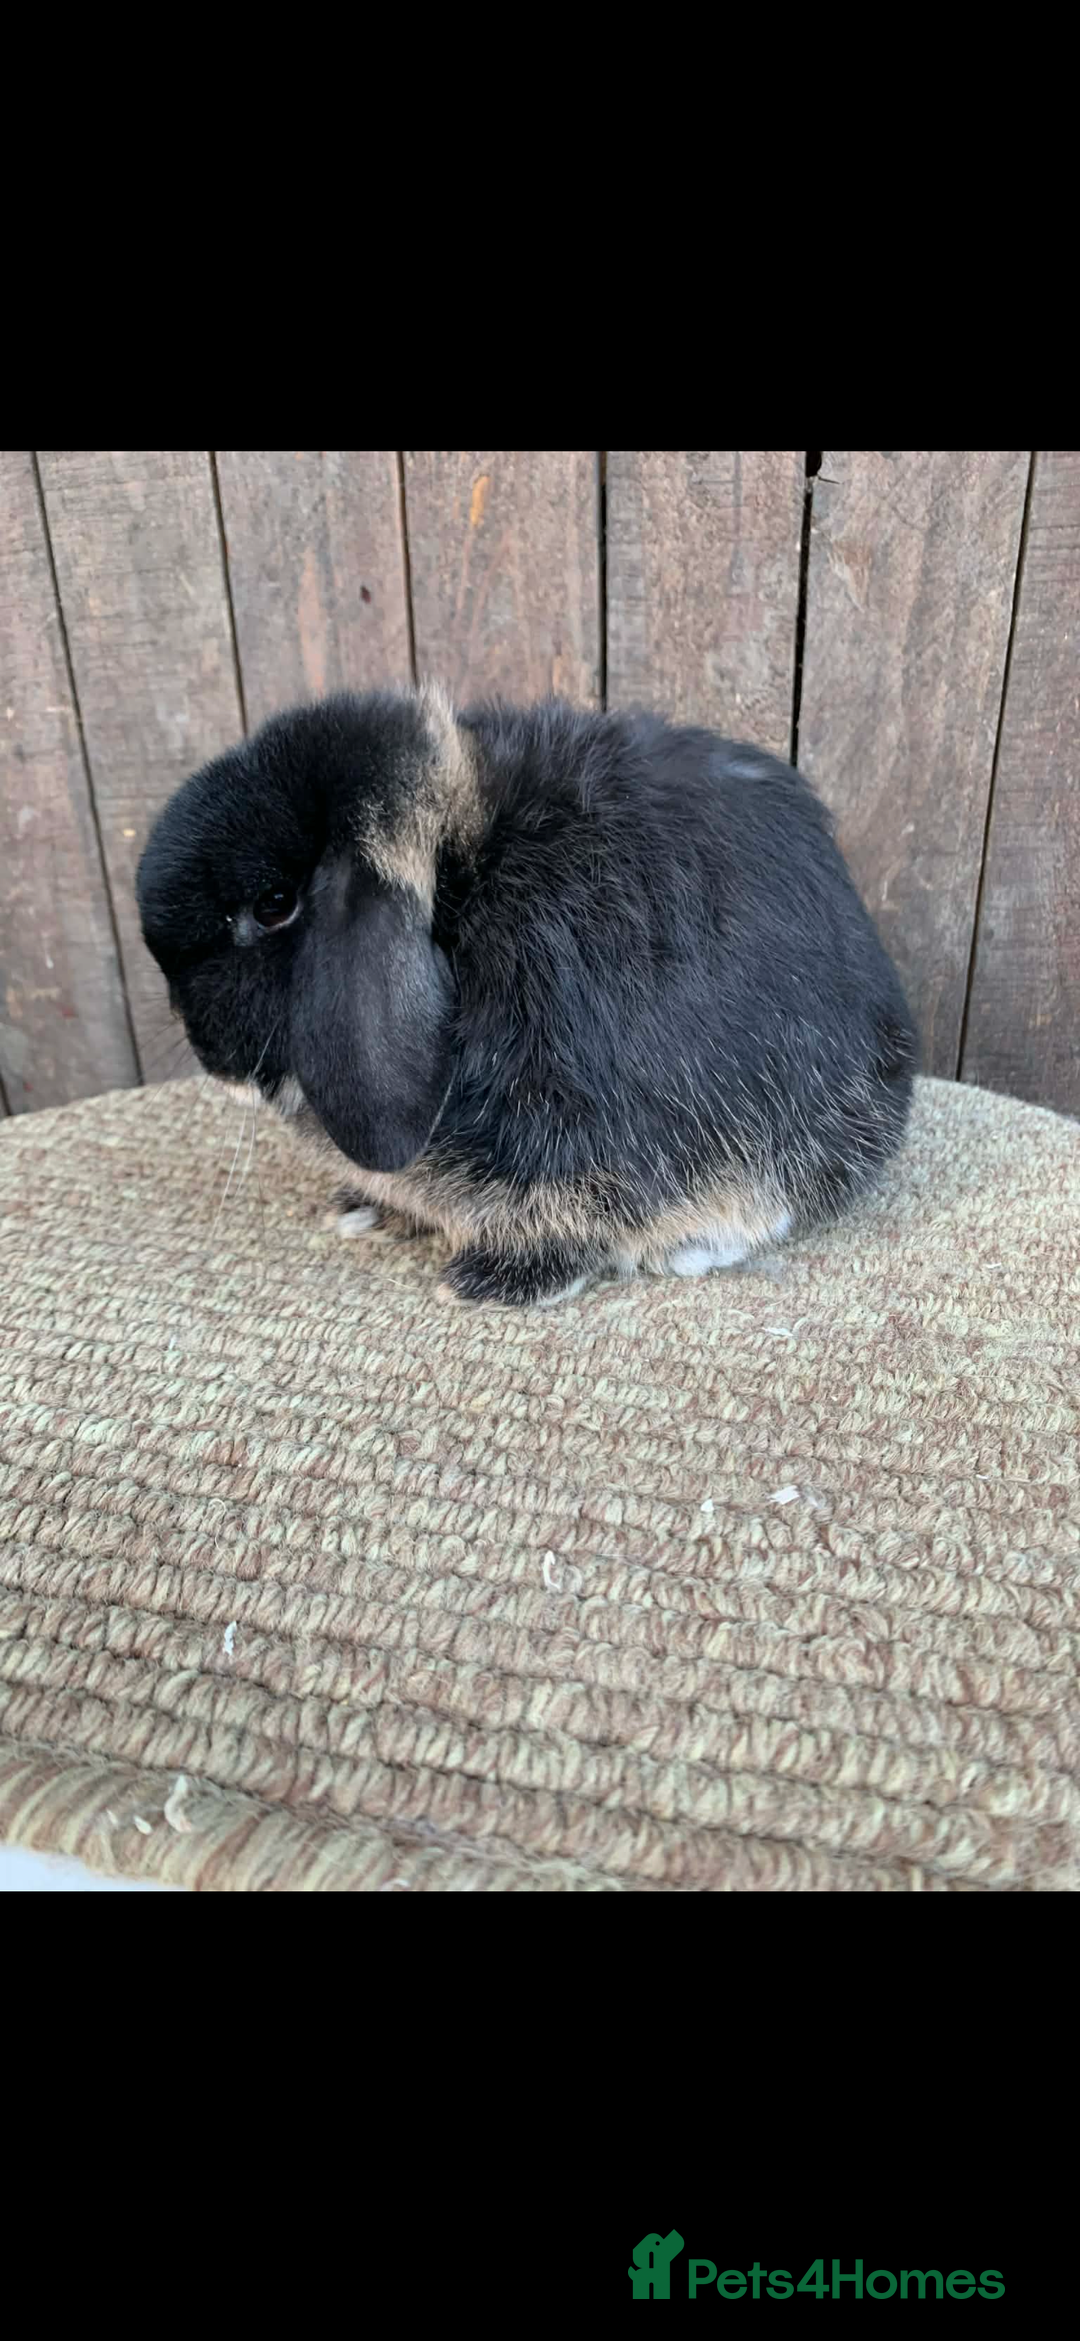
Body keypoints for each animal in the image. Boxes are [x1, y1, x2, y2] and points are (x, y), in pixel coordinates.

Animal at [136, 682, 917, 1306]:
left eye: (273, 905)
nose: (206, 1053)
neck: (463, 884)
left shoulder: (583, 1145)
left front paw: (489, 1283)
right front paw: (362, 1208)